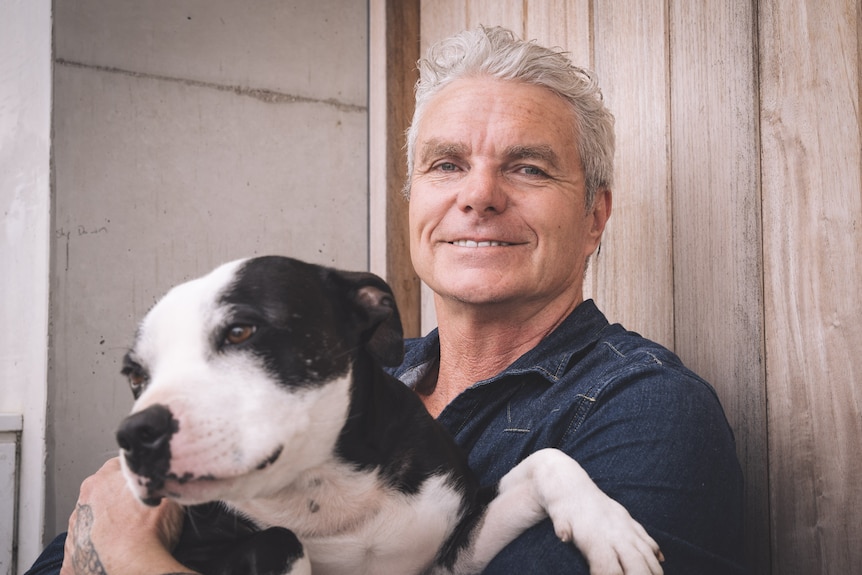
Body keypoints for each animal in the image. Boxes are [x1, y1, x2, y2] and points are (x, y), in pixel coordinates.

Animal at [116, 258, 660, 575]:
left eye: (240, 332)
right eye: (134, 374)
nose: (136, 433)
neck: (322, 485)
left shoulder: (453, 554)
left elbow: (548, 460)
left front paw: (608, 529)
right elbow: (279, 539)